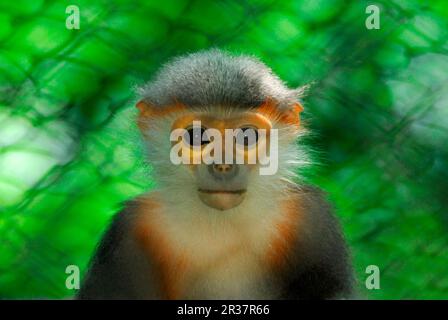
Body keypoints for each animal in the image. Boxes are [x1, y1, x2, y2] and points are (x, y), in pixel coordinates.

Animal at [78, 48, 356, 298]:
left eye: (246, 137)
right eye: (196, 136)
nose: (223, 165)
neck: (221, 224)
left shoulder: (310, 215)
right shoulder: (132, 226)